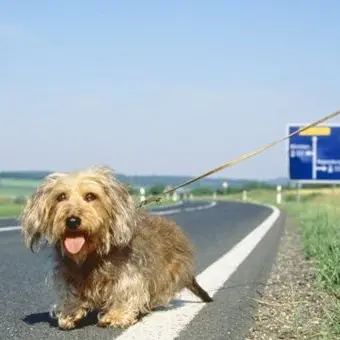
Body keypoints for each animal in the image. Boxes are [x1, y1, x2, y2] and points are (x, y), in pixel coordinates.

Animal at [19, 165, 212, 330]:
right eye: (61, 197)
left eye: (90, 196)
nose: (72, 221)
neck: (91, 253)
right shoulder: (67, 272)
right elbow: (69, 293)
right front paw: (69, 313)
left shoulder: (129, 272)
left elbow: (124, 291)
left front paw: (116, 316)